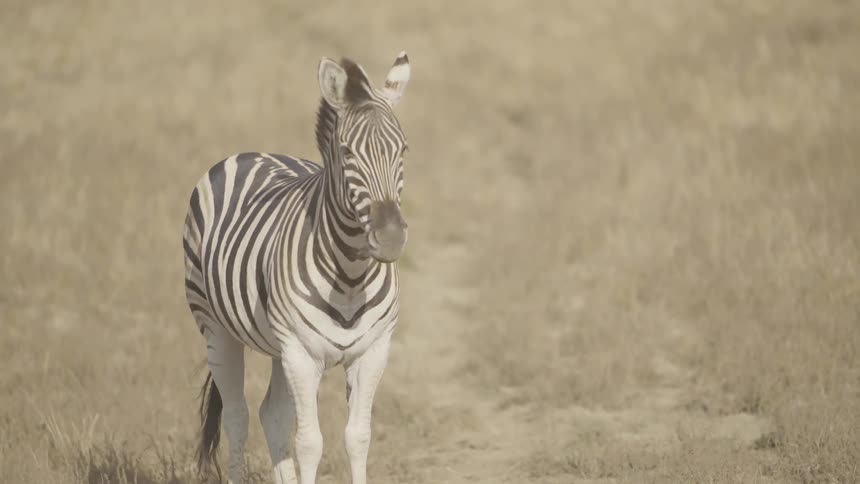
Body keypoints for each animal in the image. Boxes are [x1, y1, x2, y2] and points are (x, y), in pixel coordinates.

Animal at [182, 52, 411, 484]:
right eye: (347, 153)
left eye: (403, 150)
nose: (390, 238)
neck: (350, 274)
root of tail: (254, 152)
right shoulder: (303, 355)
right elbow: (309, 443)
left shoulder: (373, 352)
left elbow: (358, 436)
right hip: (217, 328)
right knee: (237, 417)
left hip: (278, 346)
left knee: (272, 414)